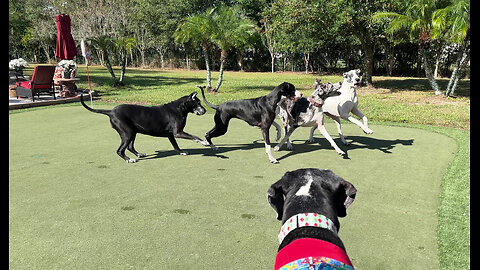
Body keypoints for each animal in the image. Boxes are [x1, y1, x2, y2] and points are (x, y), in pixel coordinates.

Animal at [79, 93, 209, 162]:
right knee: (120, 150)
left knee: (130, 147)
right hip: (128, 133)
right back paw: (129, 159)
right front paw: (204, 142)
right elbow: (194, 136)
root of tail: (110, 111)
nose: (205, 110)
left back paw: (138, 154)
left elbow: (176, 146)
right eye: (198, 103)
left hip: (132, 132)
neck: (179, 108)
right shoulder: (178, 132)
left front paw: (181, 152)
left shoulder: (171, 135)